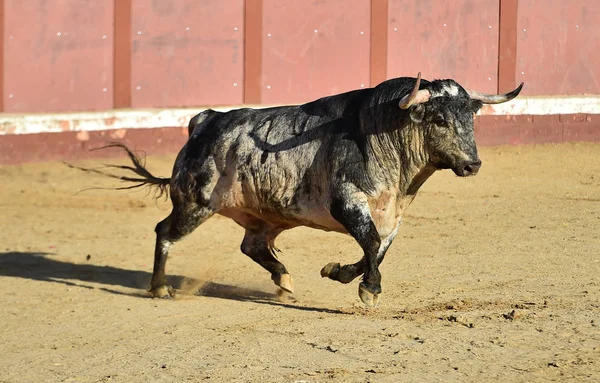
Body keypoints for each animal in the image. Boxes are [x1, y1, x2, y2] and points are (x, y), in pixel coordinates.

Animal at [69, 74, 520, 308]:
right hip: (195, 202)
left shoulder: (392, 215)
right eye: (440, 120)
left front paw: (339, 273)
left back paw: (284, 281)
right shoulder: (348, 202)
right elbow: (372, 245)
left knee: (251, 246)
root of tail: (204, 121)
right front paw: (368, 290)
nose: (472, 165)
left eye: (471, 119)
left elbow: (376, 249)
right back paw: (160, 288)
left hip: (263, 216)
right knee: (165, 232)